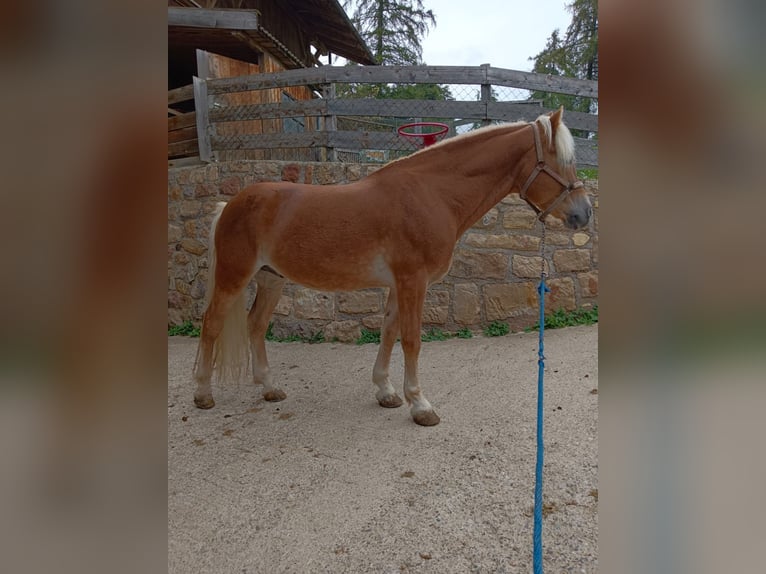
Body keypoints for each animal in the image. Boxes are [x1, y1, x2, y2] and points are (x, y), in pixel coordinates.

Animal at [192, 108, 592, 428]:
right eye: (562, 161)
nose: (584, 213)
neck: (432, 194)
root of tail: (231, 204)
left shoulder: (399, 284)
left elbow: (388, 332)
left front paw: (386, 392)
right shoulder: (413, 280)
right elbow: (411, 339)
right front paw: (420, 405)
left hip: (271, 280)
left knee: (256, 325)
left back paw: (270, 387)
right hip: (233, 276)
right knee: (211, 324)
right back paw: (203, 394)